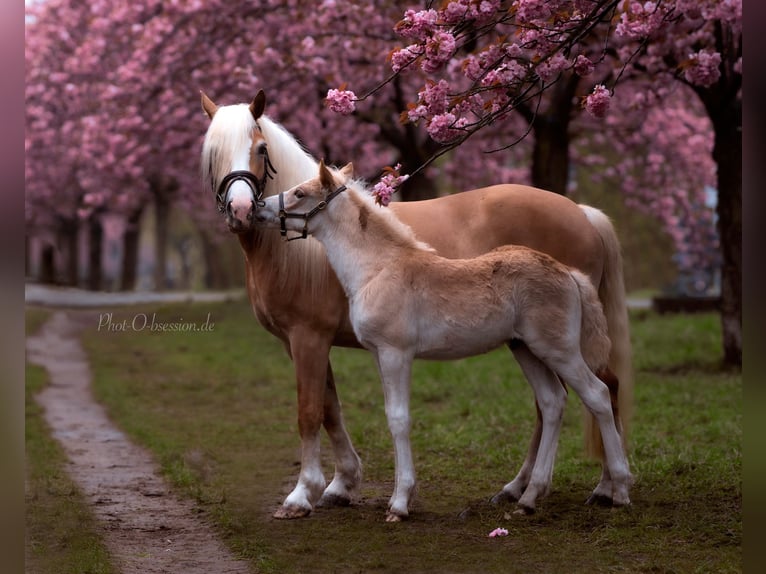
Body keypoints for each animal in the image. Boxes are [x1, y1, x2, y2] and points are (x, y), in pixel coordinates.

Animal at [201, 91, 632, 520]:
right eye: (212, 153)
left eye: (262, 150)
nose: (248, 210)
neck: (378, 265)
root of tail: (570, 261)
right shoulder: (333, 346)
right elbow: (332, 408)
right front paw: (341, 486)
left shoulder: (343, 342)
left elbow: (351, 415)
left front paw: (327, 497)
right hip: (526, 347)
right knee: (554, 402)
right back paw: (525, 493)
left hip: (558, 348)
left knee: (597, 392)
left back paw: (613, 488)